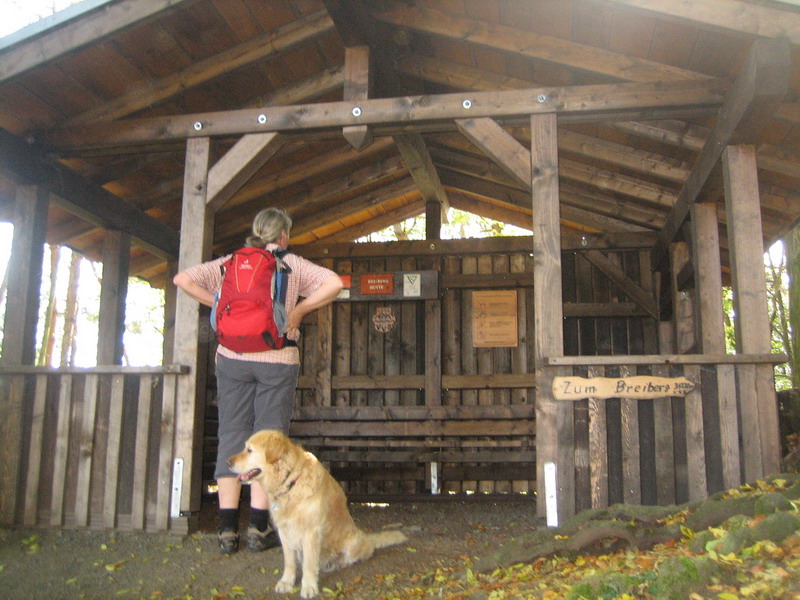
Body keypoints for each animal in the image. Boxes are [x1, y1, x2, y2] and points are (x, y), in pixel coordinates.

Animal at [228, 428, 410, 596]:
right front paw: (286, 582)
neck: (290, 482)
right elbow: (289, 561)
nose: (227, 462)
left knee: (363, 552)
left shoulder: (311, 531)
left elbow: (309, 563)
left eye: (249, 450)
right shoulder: (285, 531)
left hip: (353, 544)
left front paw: (309, 587)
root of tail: (365, 536)